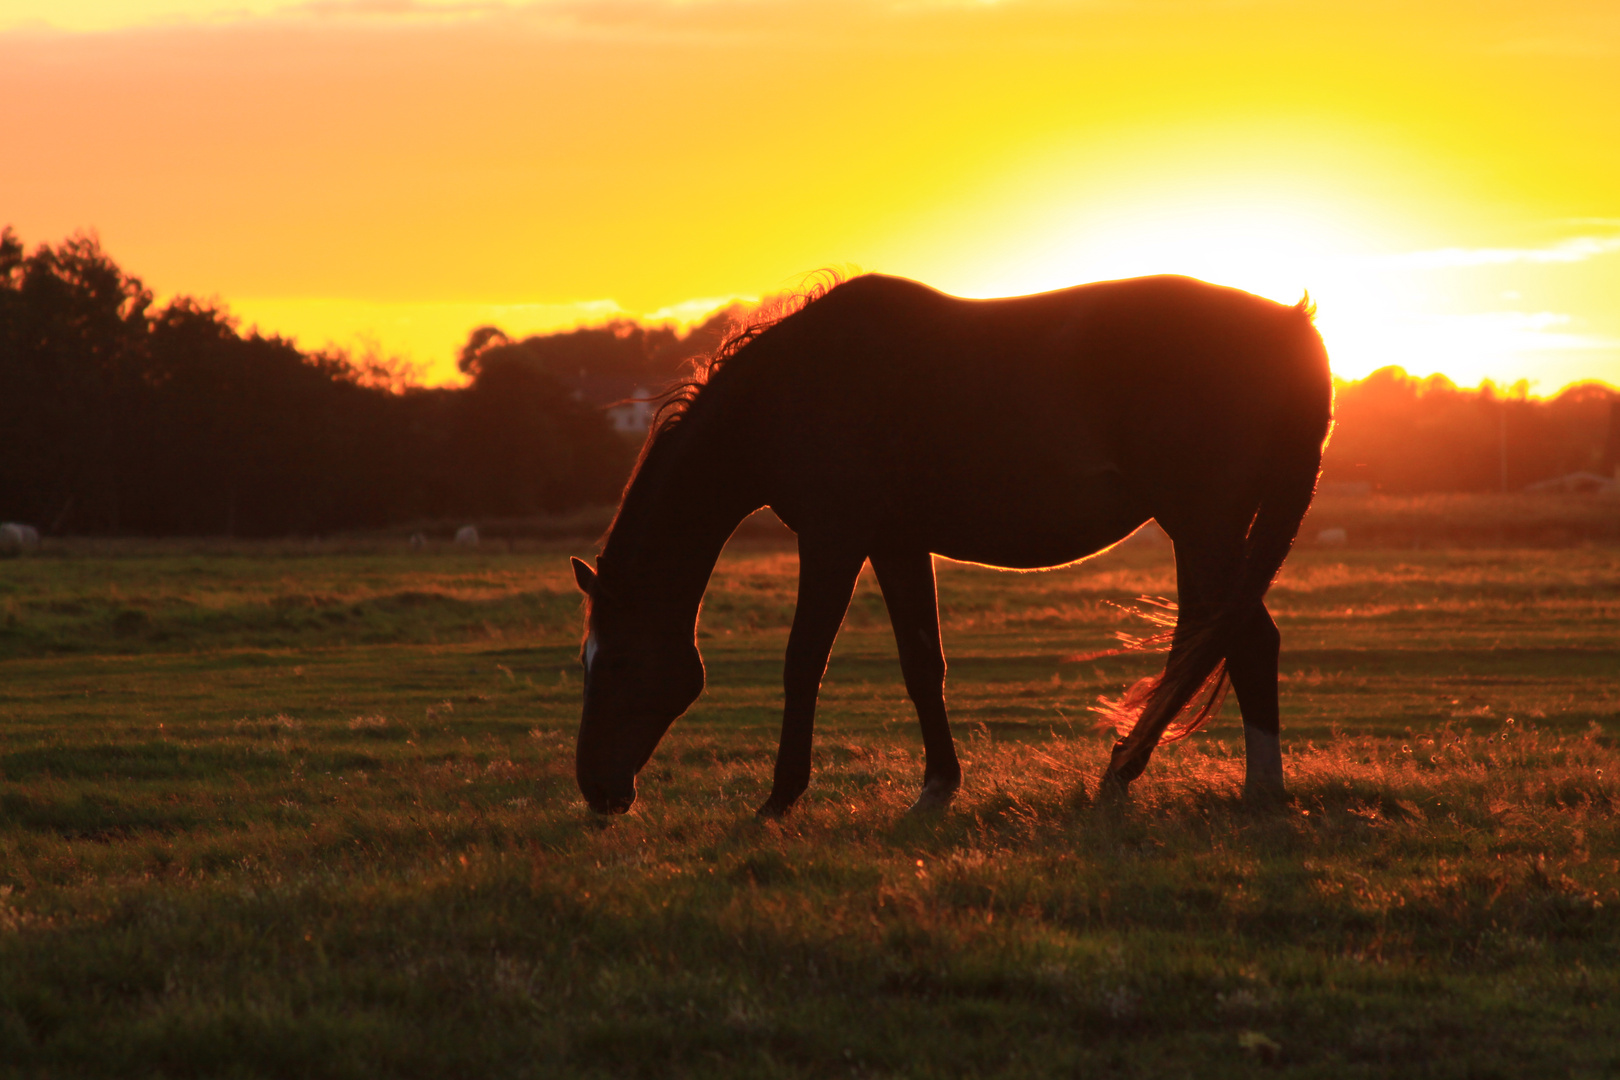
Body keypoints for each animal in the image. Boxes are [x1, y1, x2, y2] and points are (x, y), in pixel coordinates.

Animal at [567, 272, 1328, 819]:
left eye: (620, 664)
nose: (597, 791)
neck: (795, 389)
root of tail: (1292, 325)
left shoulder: (834, 538)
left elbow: (803, 662)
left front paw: (780, 799)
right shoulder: (896, 544)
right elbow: (920, 664)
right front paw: (936, 787)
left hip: (1204, 524)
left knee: (1247, 639)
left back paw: (1254, 791)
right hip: (1198, 530)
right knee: (1204, 640)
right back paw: (1123, 771)